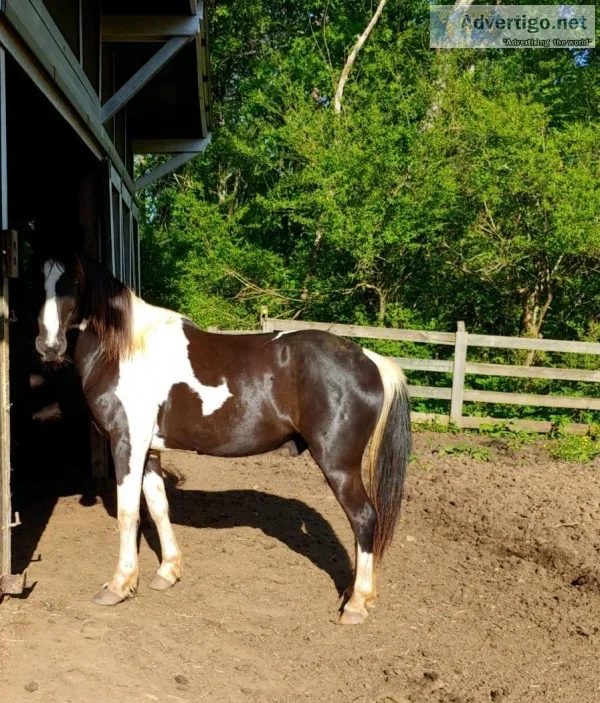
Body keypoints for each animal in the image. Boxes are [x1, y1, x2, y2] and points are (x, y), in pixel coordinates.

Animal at [34, 248, 411, 624]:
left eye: (73, 282)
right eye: (36, 280)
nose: (49, 346)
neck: (126, 348)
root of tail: (370, 360)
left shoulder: (126, 442)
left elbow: (129, 513)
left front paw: (118, 585)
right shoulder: (149, 450)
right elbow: (158, 506)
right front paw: (168, 572)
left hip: (339, 465)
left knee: (364, 518)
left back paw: (357, 604)